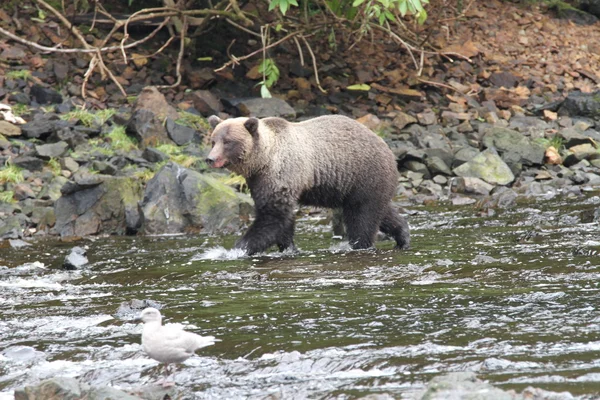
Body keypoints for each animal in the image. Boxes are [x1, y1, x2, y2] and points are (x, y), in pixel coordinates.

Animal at [205, 114, 408, 255]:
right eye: (213, 141)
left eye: (228, 142)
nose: (210, 159)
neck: (263, 160)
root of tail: (387, 148)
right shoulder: (260, 180)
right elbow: (282, 219)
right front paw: (289, 248)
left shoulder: (282, 173)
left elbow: (272, 217)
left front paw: (233, 249)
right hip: (357, 186)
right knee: (381, 211)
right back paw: (403, 236)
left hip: (364, 174)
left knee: (362, 217)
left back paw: (361, 245)